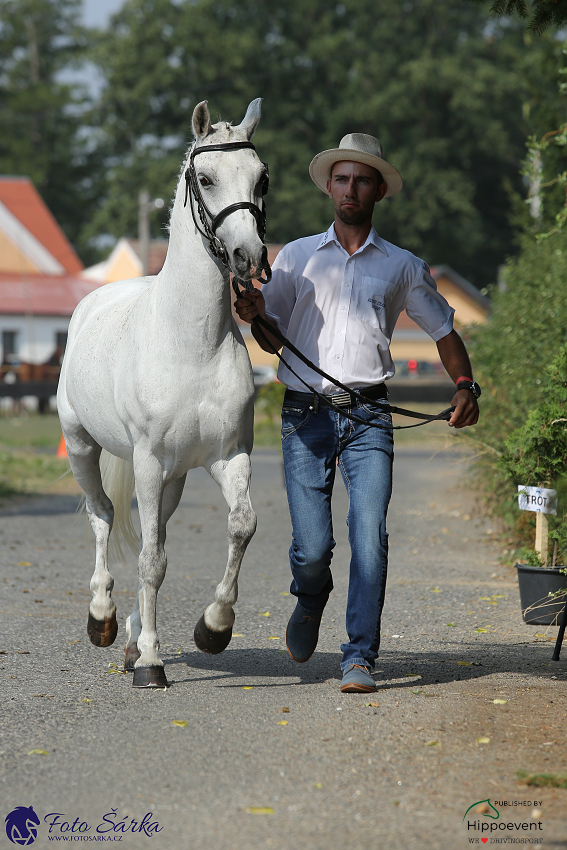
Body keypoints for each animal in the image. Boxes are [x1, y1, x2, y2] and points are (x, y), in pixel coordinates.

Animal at [57, 99, 270, 684]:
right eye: (205, 177)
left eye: (261, 177)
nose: (248, 257)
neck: (190, 344)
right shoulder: (148, 461)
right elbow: (150, 559)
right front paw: (152, 663)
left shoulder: (228, 456)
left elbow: (240, 526)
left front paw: (214, 627)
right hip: (83, 447)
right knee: (103, 516)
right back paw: (104, 619)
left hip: (173, 479)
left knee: (156, 532)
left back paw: (131, 637)